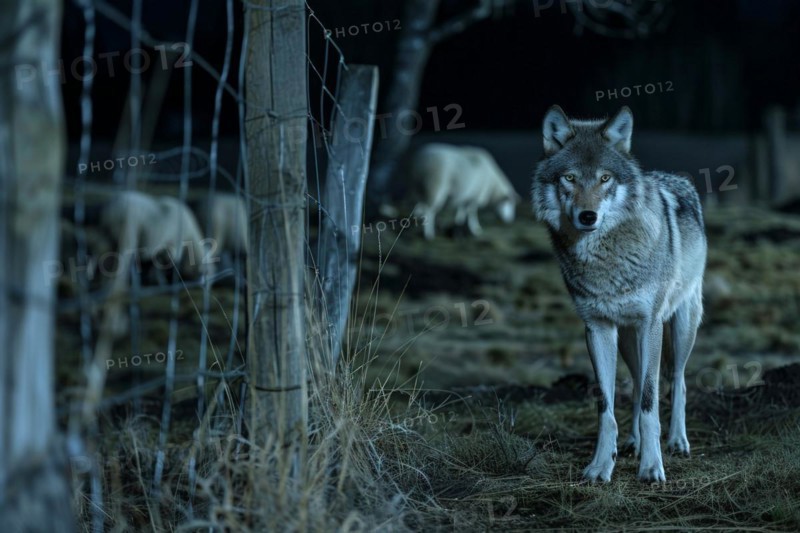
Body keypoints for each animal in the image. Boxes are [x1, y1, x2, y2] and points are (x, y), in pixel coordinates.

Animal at [531, 106, 707, 483]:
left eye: (605, 178)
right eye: (570, 178)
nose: (588, 216)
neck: (605, 261)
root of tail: (673, 176)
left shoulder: (650, 323)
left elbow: (651, 403)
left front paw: (652, 467)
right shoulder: (597, 328)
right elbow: (607, 406)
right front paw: (601, 465)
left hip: (681, 326)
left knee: (677, 381)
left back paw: (677, 441)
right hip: (627, 339)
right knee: (639, 381)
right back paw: (633, 443)